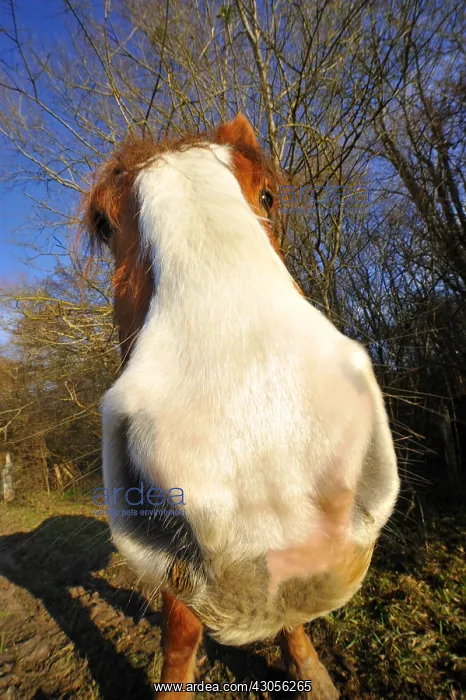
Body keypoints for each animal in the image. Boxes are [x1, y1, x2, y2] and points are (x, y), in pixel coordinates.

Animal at [84, 113, 400, 699]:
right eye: (104, 224)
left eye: (268, 194)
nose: (265, 466)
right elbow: (181, 632)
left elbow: (288, 612)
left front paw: (310, 673)